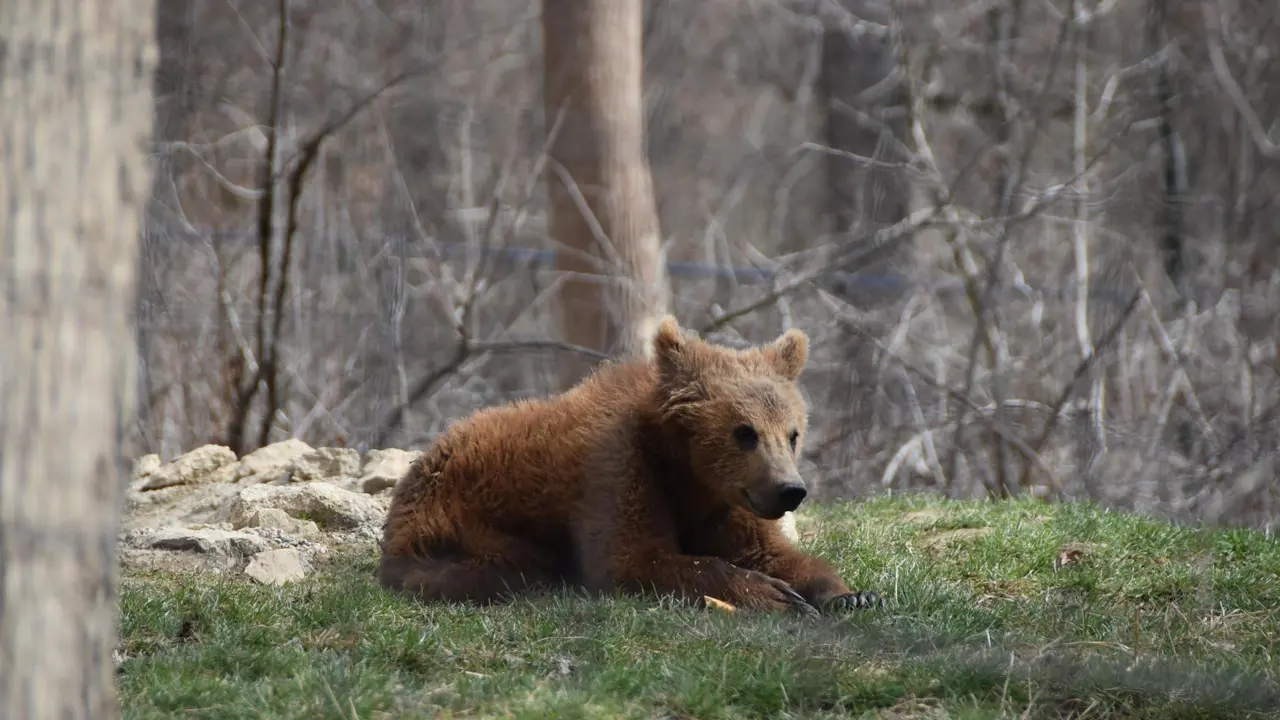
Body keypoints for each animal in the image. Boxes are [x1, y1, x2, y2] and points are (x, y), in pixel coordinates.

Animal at [376, 315, 880, 615]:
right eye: (744, 432)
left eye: (792, 433)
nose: (790, 489)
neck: (687, 472)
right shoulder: (619, 471)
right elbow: (634, 558)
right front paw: (772, 594)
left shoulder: (725, 504)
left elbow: (773, 551)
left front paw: (850, 594)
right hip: (461, 523)